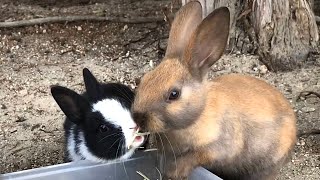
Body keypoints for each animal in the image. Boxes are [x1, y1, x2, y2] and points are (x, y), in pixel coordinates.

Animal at [131, 1, 296, 180]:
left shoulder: (221, 146)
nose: (137, 117)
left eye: (174, 94)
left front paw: (175, 171)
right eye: (143, 80)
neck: (198, 115)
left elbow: (197, 155)